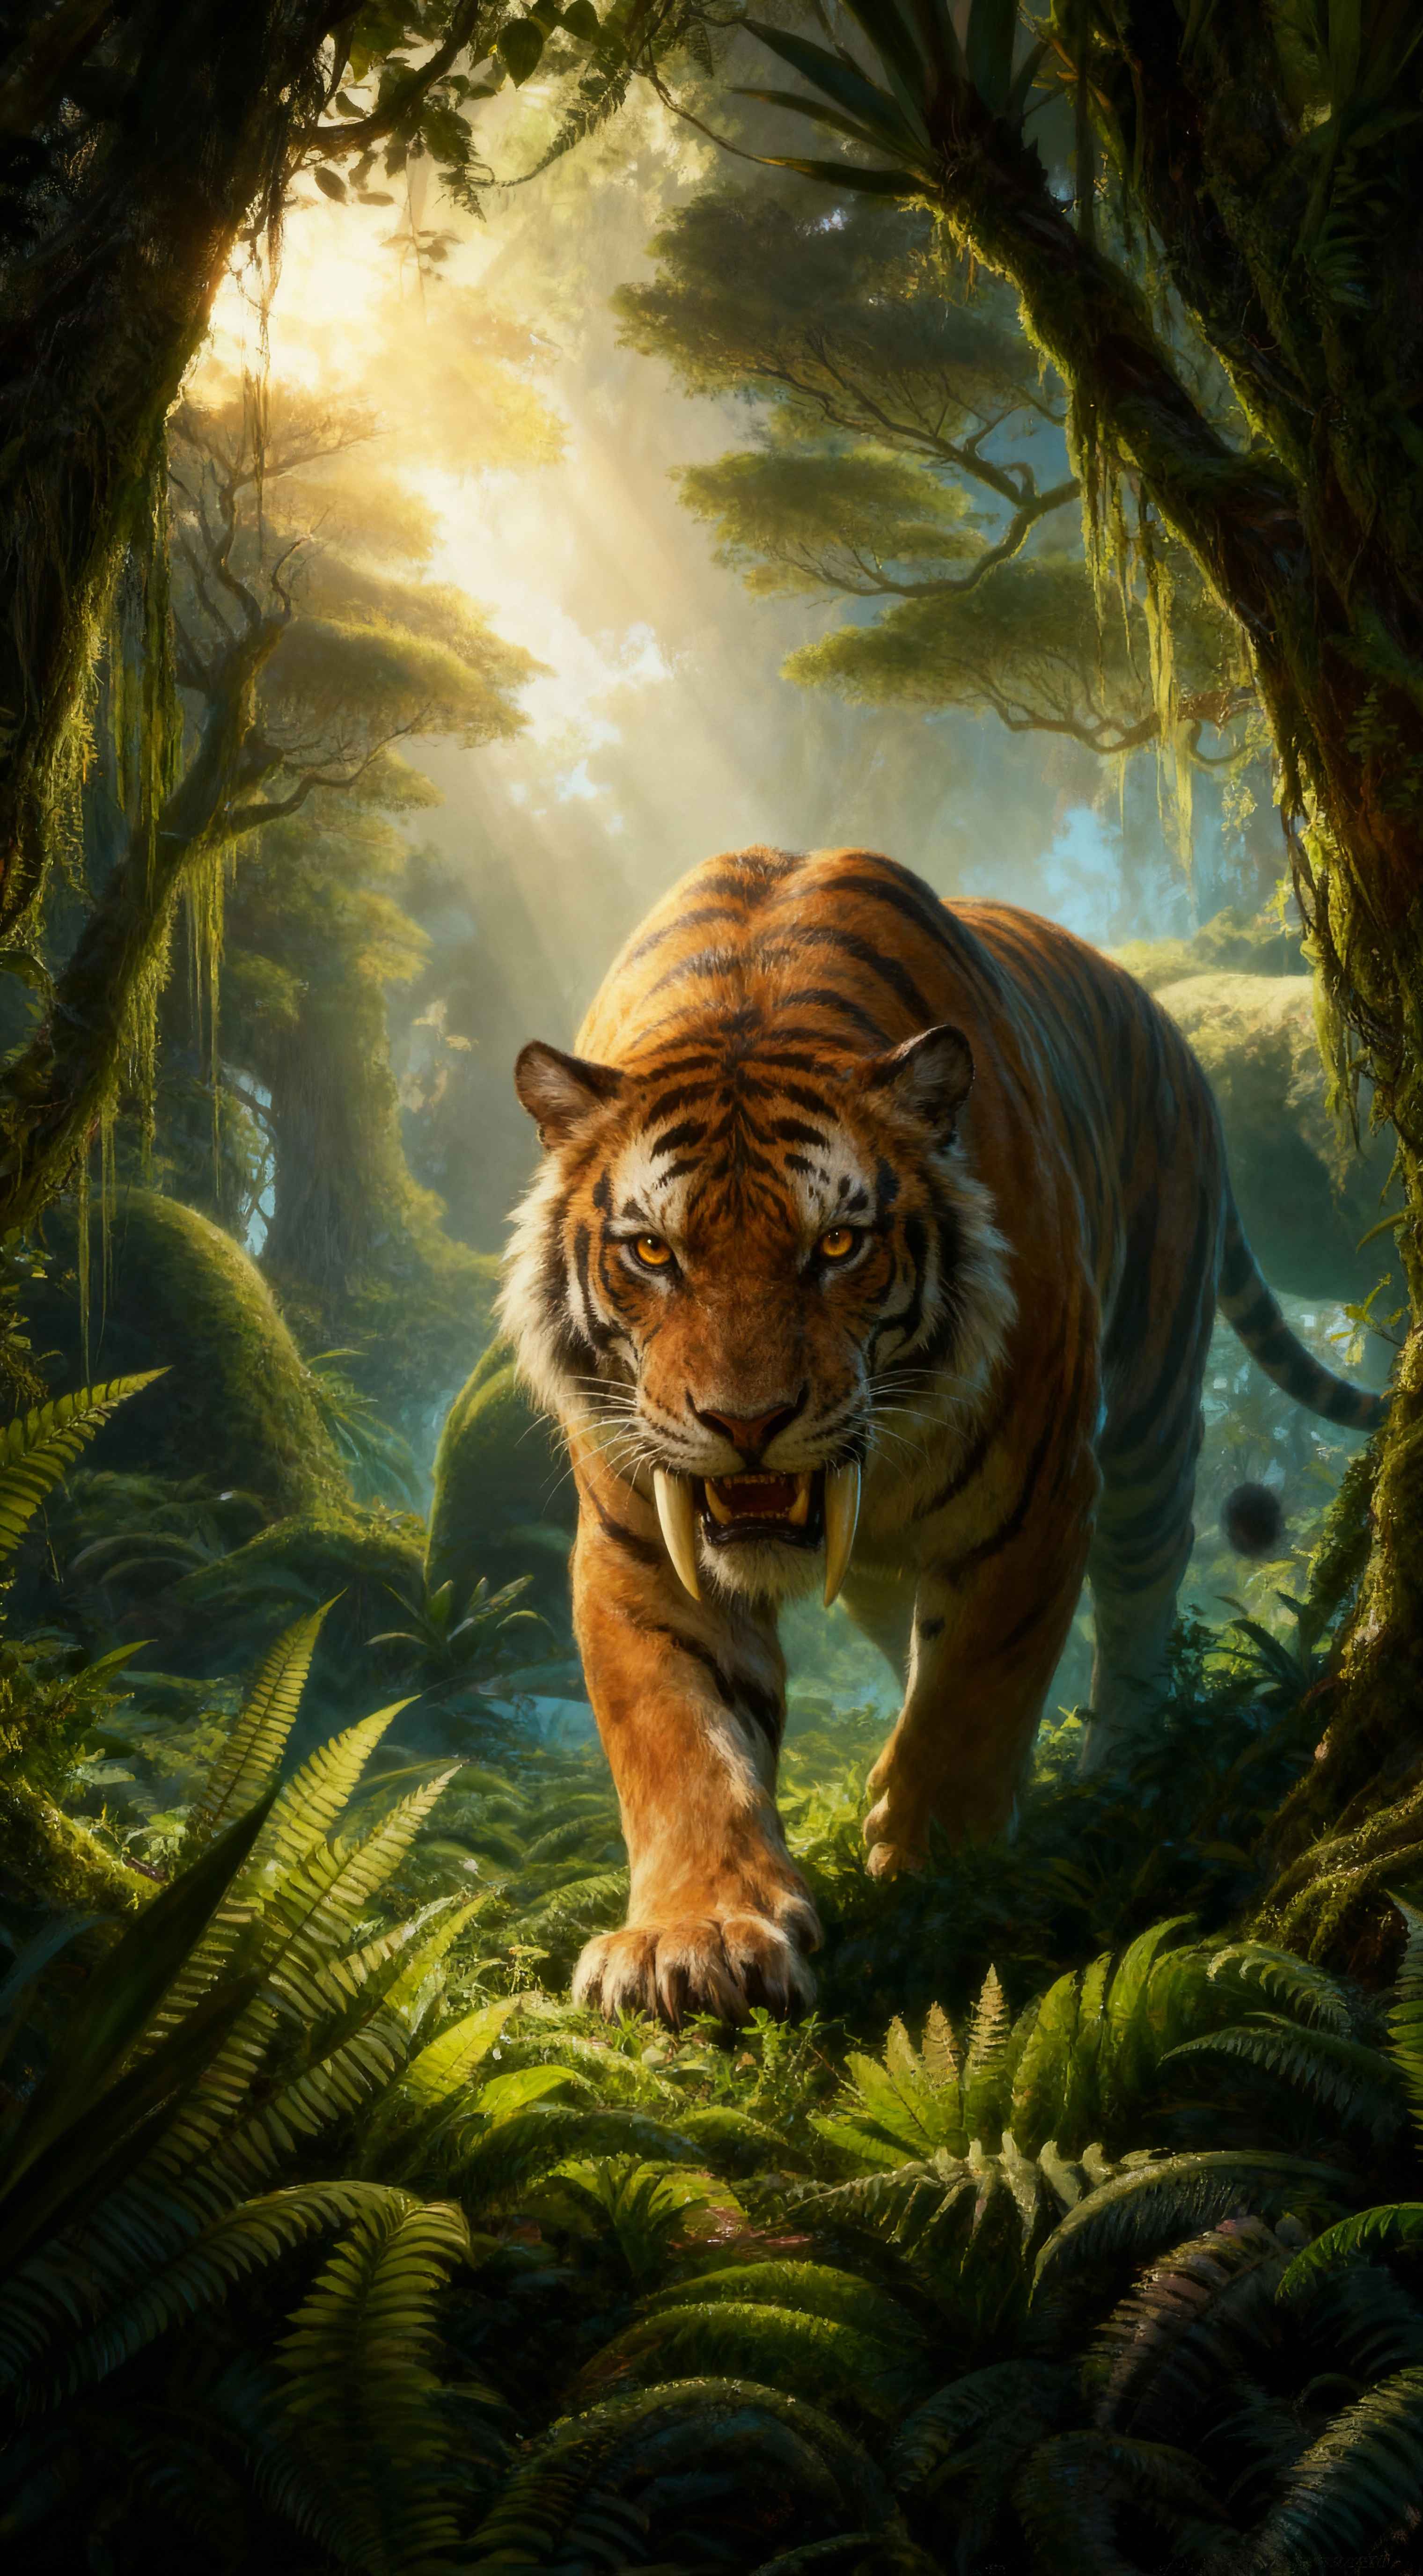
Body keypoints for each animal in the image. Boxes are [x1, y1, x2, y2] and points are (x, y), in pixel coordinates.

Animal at [501, 844, 1387, 2026]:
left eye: (837, 1245)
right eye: (653, 1253)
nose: (746, 1422)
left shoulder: (1039, 1497)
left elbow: (975, 1693)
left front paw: (935, 1880)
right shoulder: (638, 1539)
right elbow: (678, 1736)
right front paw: (692, 1940)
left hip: (1152, 1389)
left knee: (1144, 1584)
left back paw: (1117, 1769)